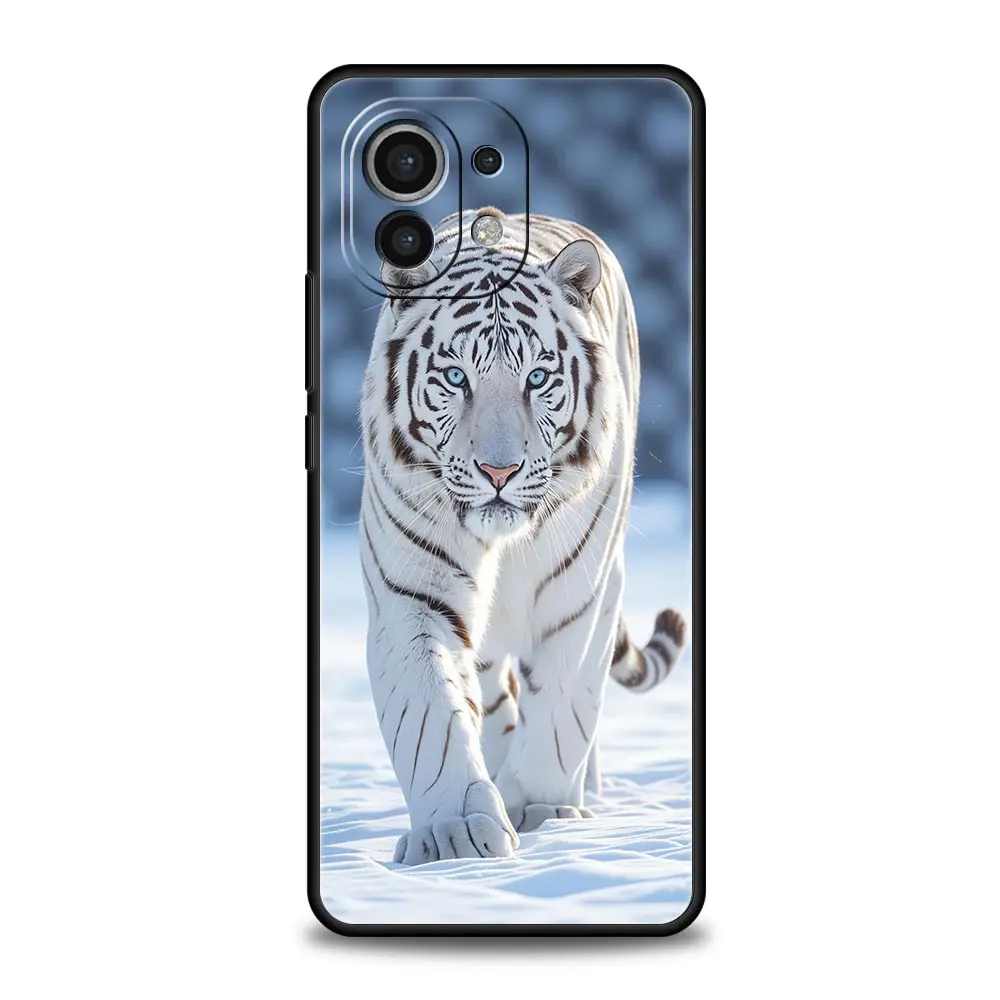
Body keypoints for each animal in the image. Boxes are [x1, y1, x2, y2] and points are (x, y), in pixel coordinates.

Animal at [358, 210, 687, 865]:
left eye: (537, 377)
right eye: (455, 376)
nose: (499, 472)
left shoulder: (580, 595)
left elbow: (562, 708)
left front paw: (543, 811)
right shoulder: (413, 598)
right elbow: (431, 719)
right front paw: (455, 833)